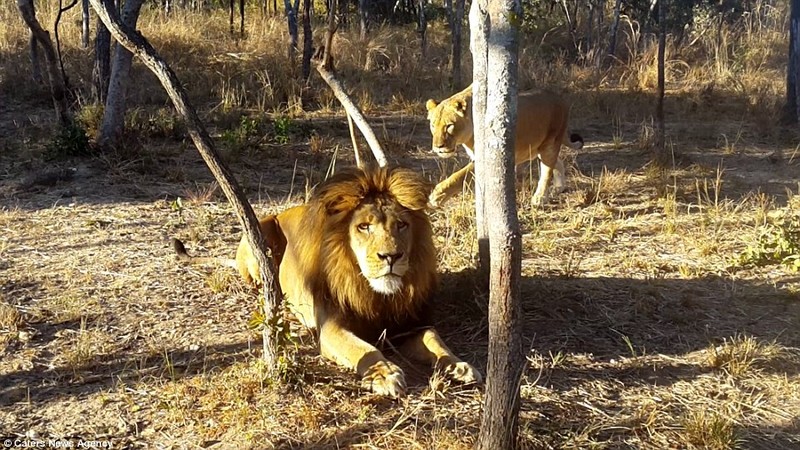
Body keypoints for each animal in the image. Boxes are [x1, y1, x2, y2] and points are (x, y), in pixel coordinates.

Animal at [174, 166, 482, 398]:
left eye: (402, 225)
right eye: (364, 226)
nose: (391, 256)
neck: (377, 295)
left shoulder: (411, 324)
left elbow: (435, 340)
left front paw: (459, 366)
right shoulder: (330, 328)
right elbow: (366, 350)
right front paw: (385, 374)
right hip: (261, 231)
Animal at [424, 84, 580, 207]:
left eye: (449, 126)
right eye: (433, 125)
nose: (438, 147)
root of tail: (560, 98)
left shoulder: (487, 155)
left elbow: (458, 176)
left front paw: (436, 196)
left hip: (550, 143)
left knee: (547, 170)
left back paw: (540, 198)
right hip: (538, 148)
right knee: (556, 162)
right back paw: (558, 188)